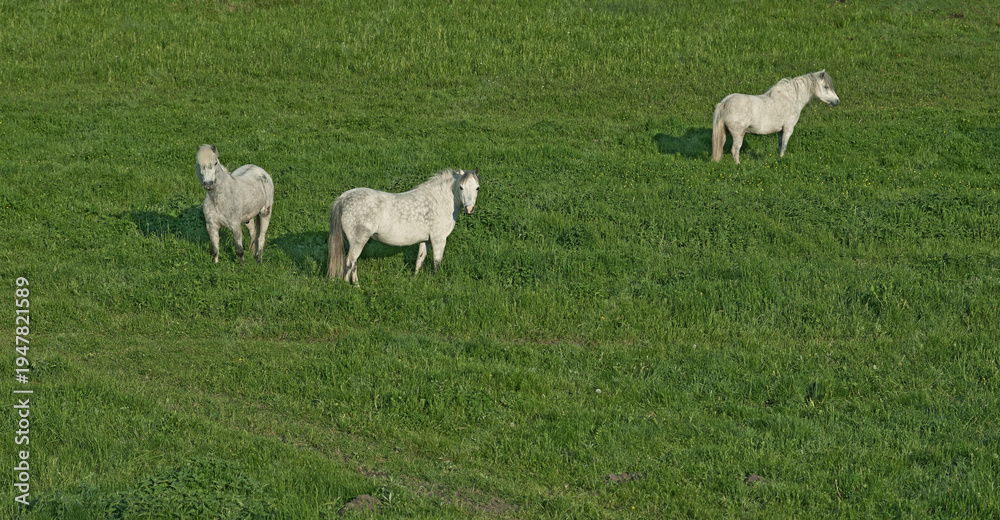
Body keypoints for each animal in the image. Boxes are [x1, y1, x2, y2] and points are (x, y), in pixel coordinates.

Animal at [327, 169, 480, 285]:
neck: (439, 201)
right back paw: (356, 286)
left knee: (350, 263)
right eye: (461, 187)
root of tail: (343, 198)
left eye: (477, 188)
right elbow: (437, 262)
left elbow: (419, 261)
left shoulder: (426, 240)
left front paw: (415, 280)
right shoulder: (439, 239)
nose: (469, 209)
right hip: (359, 241)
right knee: (351, 262)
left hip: (350, 241)